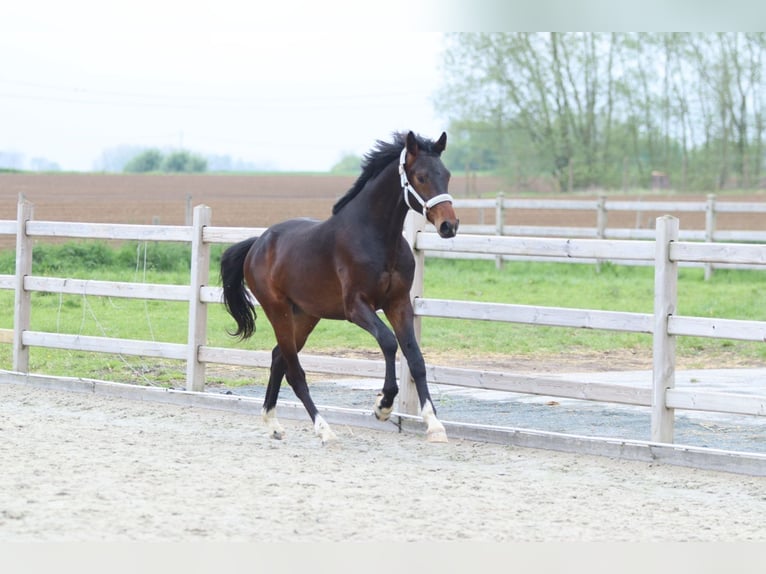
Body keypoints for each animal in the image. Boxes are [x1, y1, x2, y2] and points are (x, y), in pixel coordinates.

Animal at [219, 131, 459, 444]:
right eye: (420, 176)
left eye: (447, 174)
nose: (449, 226)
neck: (377, 238)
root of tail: (257, 244)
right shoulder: (356, 307)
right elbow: (388, 342)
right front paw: (383, 405)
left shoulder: (398, 304)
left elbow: (415, 358)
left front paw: (434, 424)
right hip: (278, 311)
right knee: (295, 372)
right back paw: (324, 429)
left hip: (306, 315)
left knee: (278, 358)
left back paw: (273, 424)